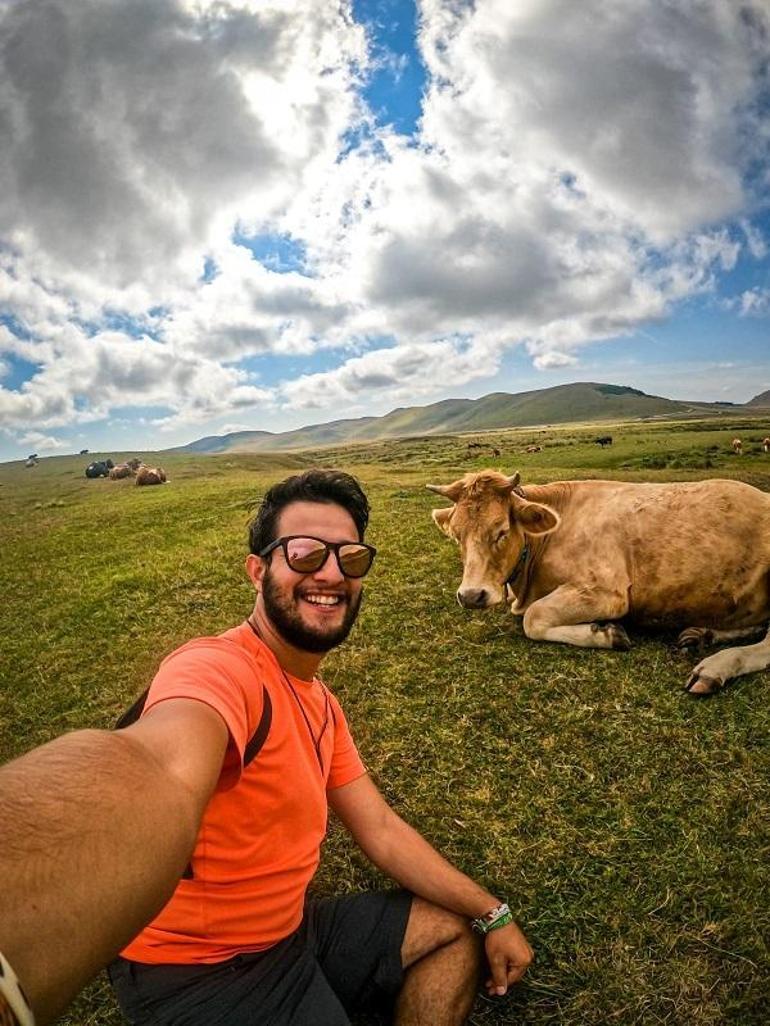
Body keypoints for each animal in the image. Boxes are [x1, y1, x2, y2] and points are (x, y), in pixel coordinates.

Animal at [429, 469, 770, 697]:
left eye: (501, 531)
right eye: (456, 535)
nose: (471, 595)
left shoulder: (608, 593)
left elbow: (534, 618)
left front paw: (607, 634)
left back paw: (715, 667)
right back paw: (700, 634)